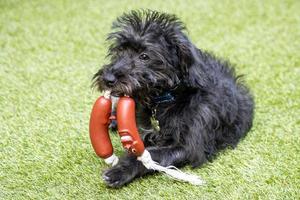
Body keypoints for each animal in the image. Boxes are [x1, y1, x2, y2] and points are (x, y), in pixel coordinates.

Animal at [93, 9, 253, 188]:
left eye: (144, 56)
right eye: (119, 51)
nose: (108, 78)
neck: (167, 98)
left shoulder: (189, 146)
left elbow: (151, 156)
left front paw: (119, 171)